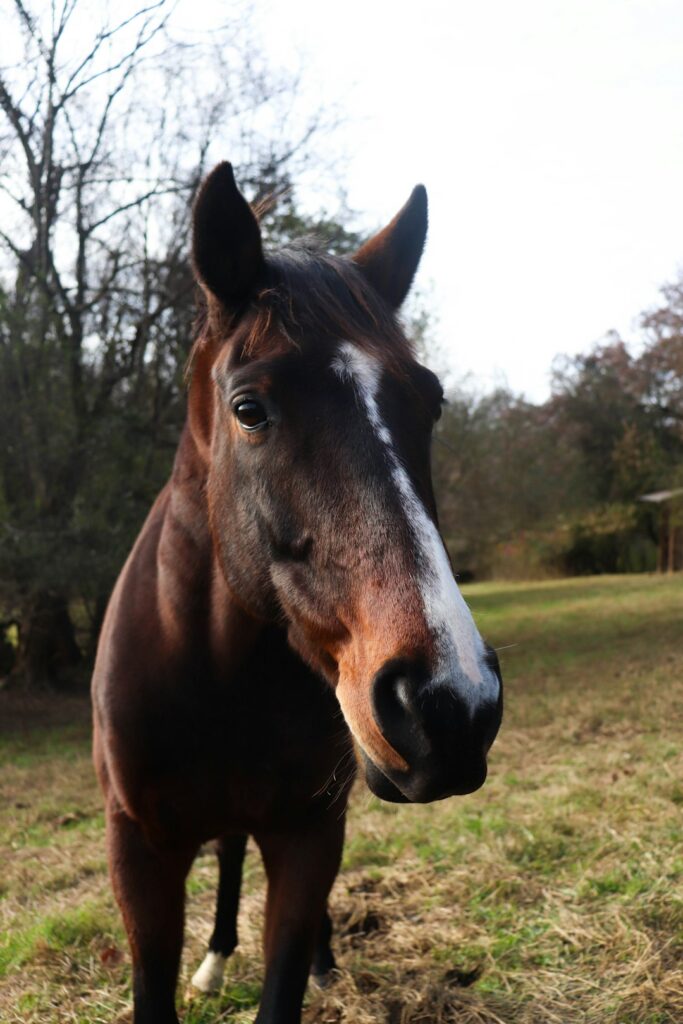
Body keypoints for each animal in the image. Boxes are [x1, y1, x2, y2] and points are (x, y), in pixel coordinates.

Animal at [91, 161, 503, 1024]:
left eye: (431, 401)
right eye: (249, 408)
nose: (450, 704)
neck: (215, 673)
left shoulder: (308, 833)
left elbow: (283, 974)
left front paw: (310, 965)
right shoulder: (138, 850)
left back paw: (322, 962)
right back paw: (214, 961)